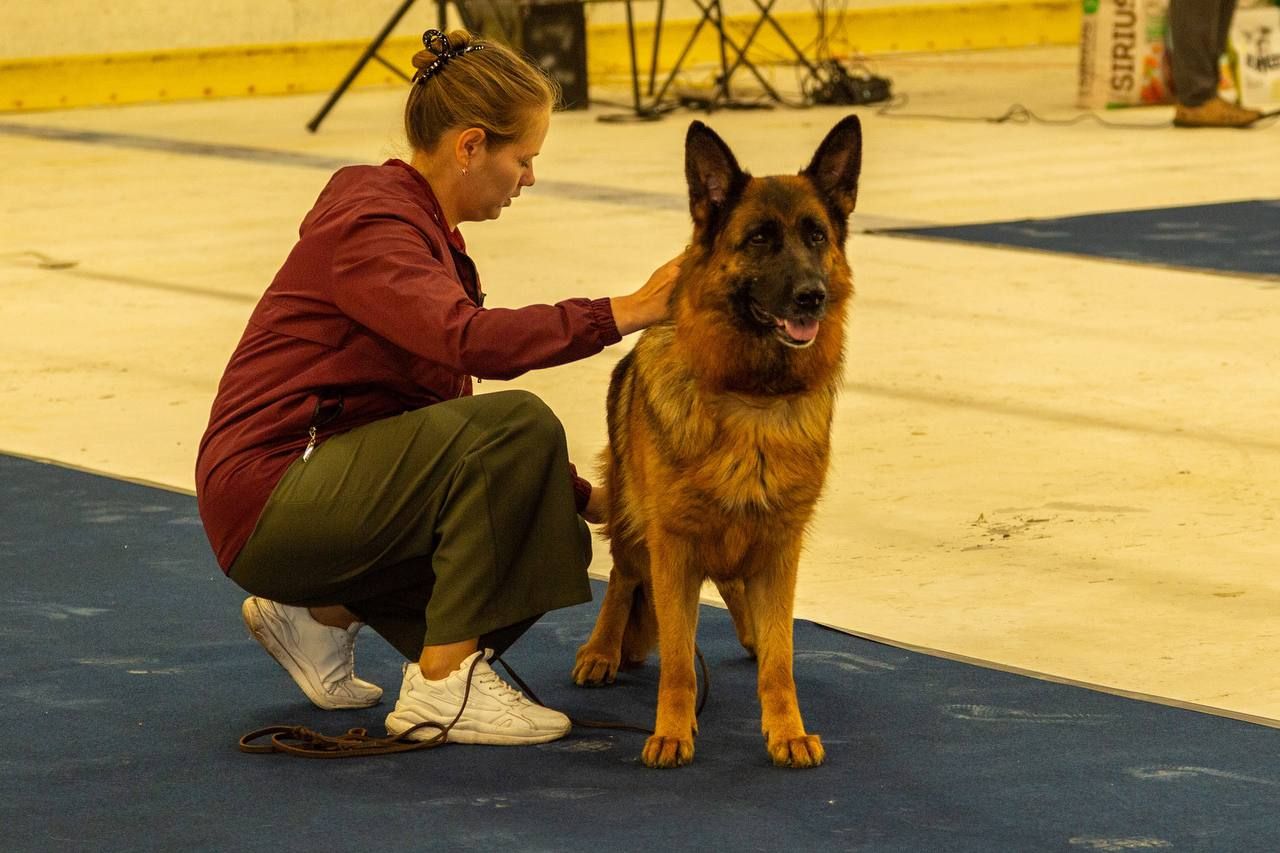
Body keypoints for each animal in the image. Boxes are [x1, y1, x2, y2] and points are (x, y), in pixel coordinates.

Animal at [578, 114, 860, 763]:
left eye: (816, 236)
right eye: (758, 239)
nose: (813, 295)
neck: (751, 397)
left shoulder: (779, 548)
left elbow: (782, 660)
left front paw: (786, 730)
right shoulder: (673, 547)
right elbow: (680, 661)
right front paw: (672, 732)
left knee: (735, 589)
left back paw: (752, 631)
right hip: (633, 522)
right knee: (623, 578)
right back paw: (603, 650)